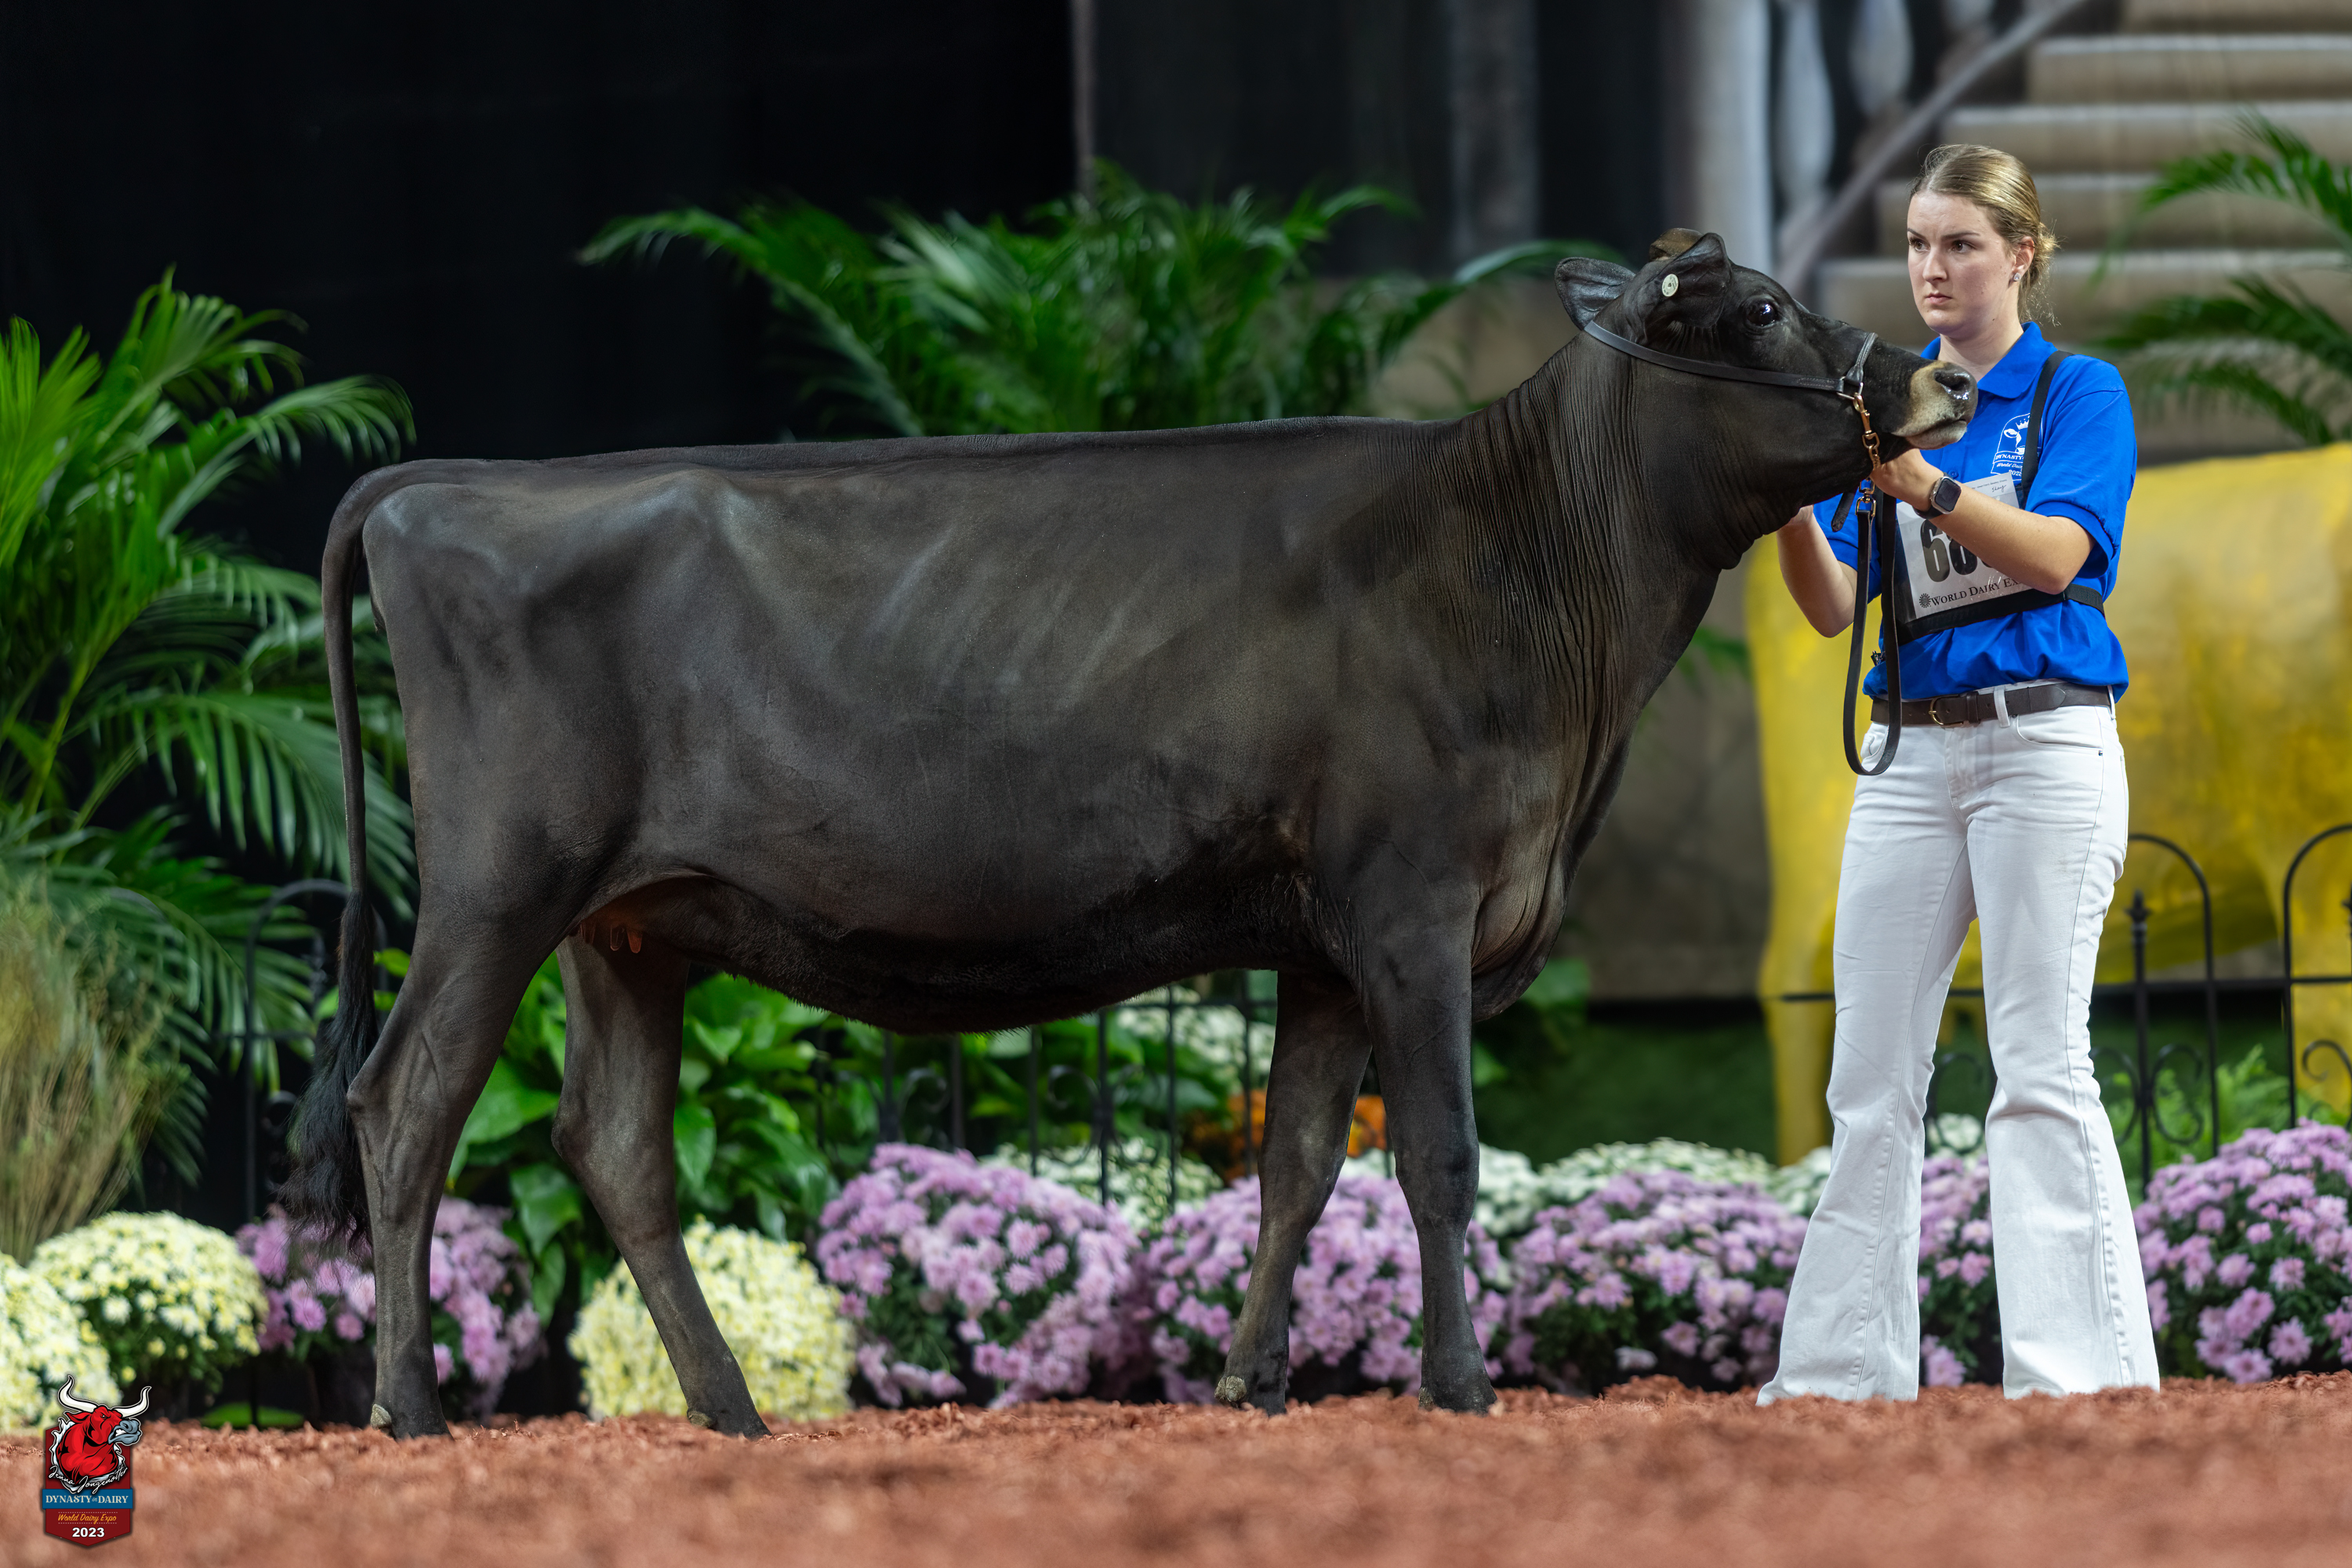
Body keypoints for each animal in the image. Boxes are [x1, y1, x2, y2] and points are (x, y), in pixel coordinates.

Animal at [285, 231, 1974, 1437]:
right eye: (1759, 310)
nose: (1941, 382)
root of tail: (443, 487)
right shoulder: (1417, 904)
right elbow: (1437, 1155)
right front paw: (1461, 1384)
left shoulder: (1327, 947)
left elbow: (1298, 1166)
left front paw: (1249, 1382)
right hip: (497, 888)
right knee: (407, 1103)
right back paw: (412, 1408)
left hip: (628, 923)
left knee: (615, 1145)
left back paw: (729, 1408)